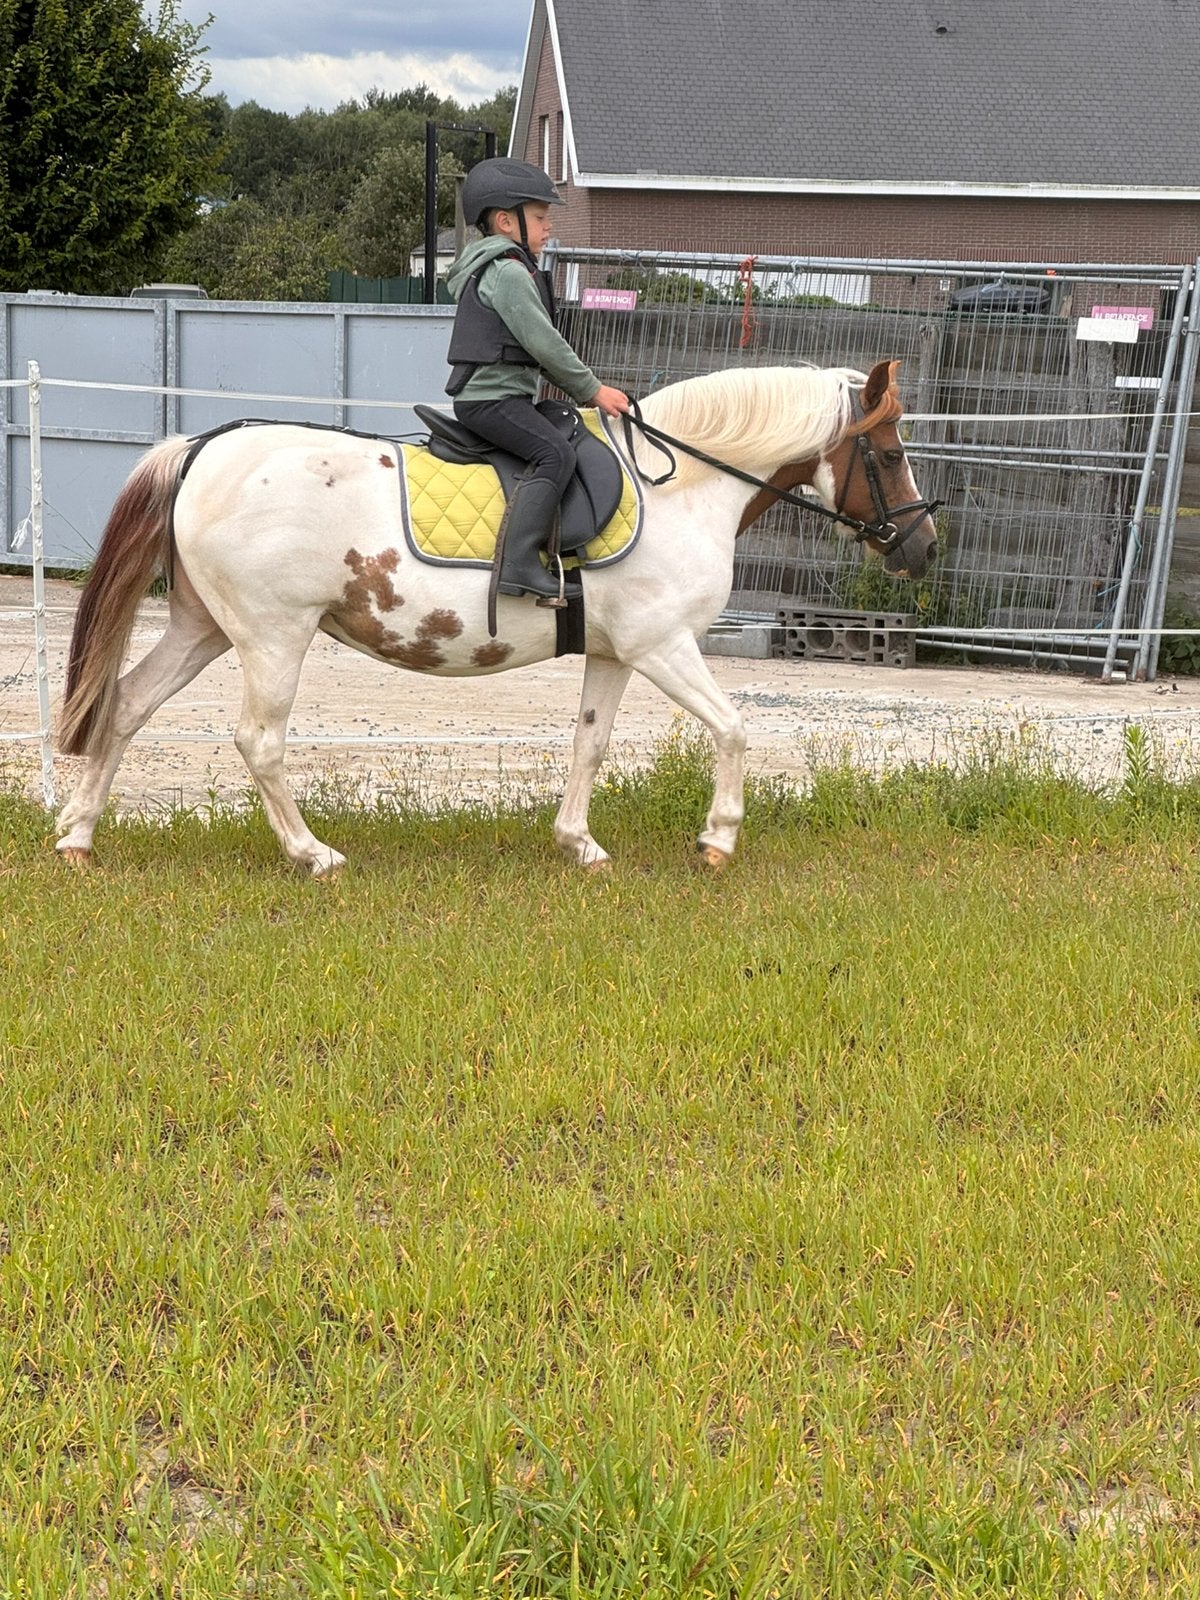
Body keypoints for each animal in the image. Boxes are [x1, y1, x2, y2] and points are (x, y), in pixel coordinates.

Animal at [55, 358, 938, 875]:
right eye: (892, 454)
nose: (922, 549)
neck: (680, 487)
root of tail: (203, 448)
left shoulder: (615, 653)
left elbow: (590, 743)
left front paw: (580, 845)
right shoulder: (663, 645)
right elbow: (733, 729)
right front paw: (717, 840)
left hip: (202, 628)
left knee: (125, 705)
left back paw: (77, 837)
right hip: (274, 636)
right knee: (258, 742)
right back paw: (314, 854)